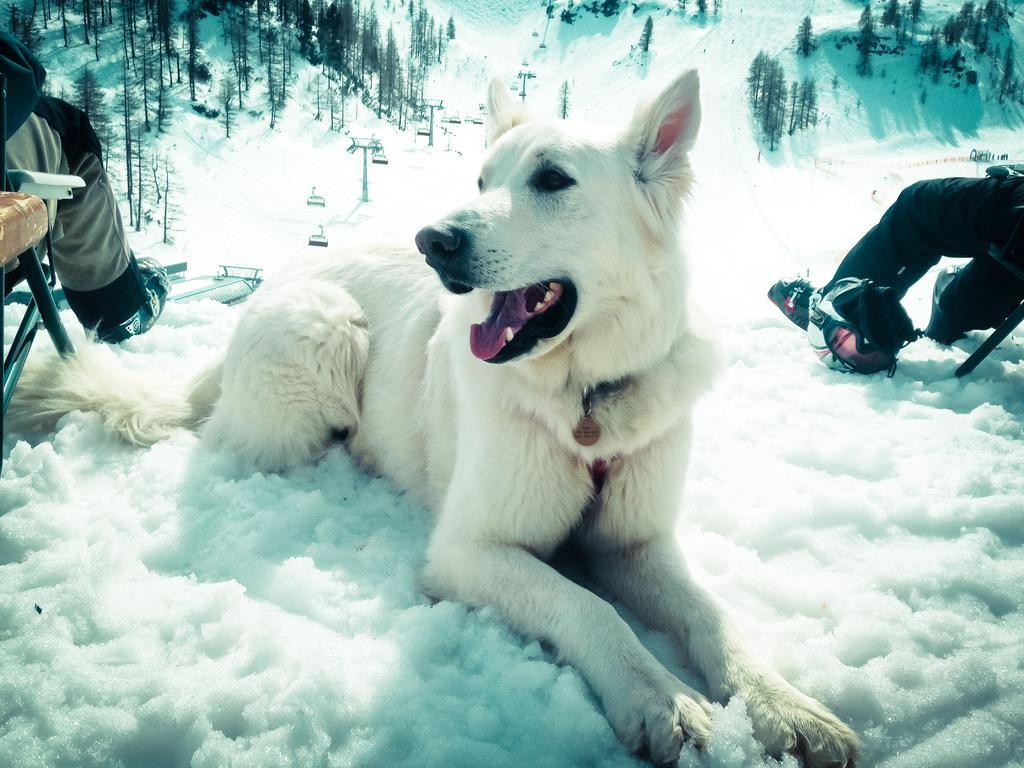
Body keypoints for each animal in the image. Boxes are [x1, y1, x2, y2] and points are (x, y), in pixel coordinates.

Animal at [16, 69, 856, 765]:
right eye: (481, 180)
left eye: (553, 179)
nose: (434, 240)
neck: (583, 401)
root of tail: (278, 281)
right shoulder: (470, 550)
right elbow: (590, 609)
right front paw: (660, 697)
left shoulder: (637, 543)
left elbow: (713, 617)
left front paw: (788, 706)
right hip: (327, 328)